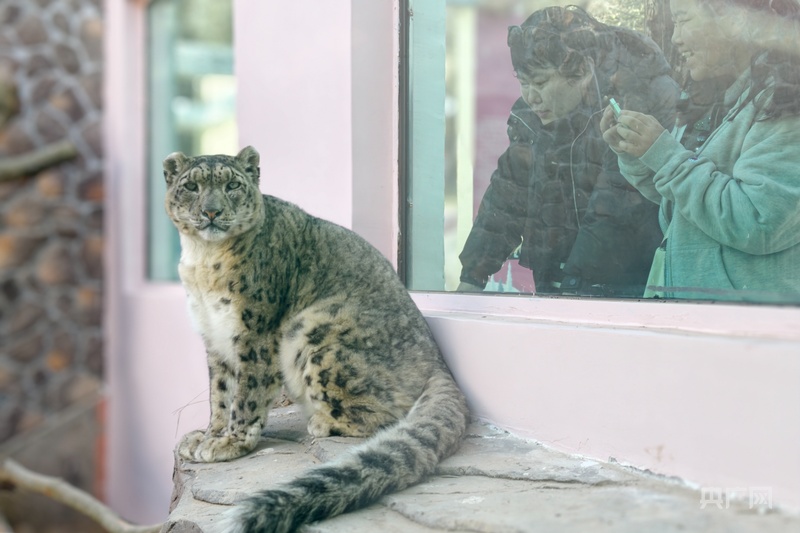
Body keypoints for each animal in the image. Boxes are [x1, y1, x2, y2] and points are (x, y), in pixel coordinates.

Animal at [163, 146, 469, 533]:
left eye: (232, 184)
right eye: (191, 186)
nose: (212, 211)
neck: (201, 261)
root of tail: (439, 361)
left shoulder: (254, 333)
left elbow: (246, 394)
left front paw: (230, 442)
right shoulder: (214, 341)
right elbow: (220, 394)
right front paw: (208, 435)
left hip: (313, 331)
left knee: (388, 413)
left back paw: (323, 422)